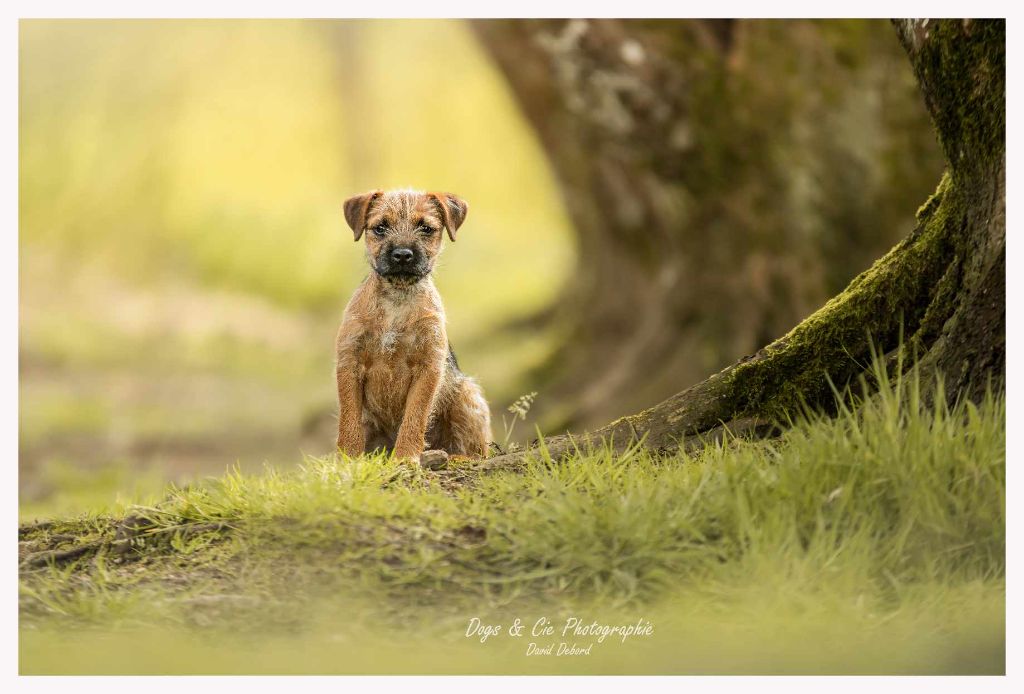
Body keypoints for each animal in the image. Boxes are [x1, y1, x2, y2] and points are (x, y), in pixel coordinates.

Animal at [335, 187, 491, 464]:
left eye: (426, 228)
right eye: (380, 227)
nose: (402, 255)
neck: (397, 300)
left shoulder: (428, 368)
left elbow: (415, 417)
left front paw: (406, 457)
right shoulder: (349, 362)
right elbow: (349, 418)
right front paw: (348, 459)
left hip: (467, 394)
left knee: (477, 451)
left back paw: (452, 457)